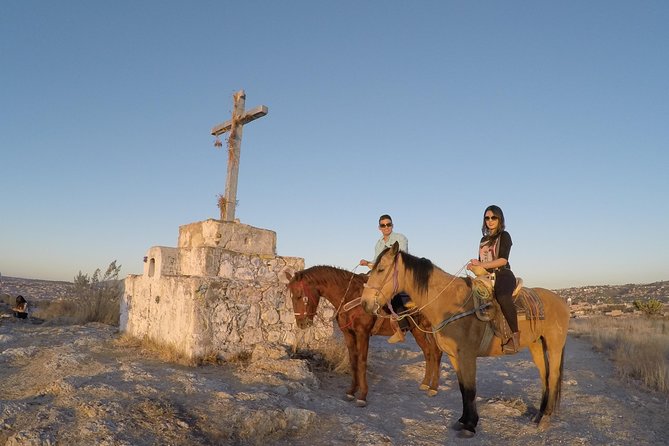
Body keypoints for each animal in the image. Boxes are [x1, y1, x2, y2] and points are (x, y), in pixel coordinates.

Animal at [285, 265, 443, 407]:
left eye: (299, 295)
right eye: (291, 296)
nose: (301, 323)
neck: (351, 296)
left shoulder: (363, 334)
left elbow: (361, 362)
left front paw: (362, 396)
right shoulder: (348, 334)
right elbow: (353, 361)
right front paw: (351, 391)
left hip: (429, 329)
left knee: (436, 352)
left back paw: (433, 388)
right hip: (418, 330)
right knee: (429, 352)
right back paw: (425, 384)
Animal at [360, 242, 570, 437]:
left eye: (381, 269)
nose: (365, 303)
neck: (450, 303)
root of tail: (561, 301)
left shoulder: (467, 356)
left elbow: (470, 389)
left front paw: (470, 426)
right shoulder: (455, 356)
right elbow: (462, 389)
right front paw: (463, 421)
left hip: (554, 345)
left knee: (553, 376)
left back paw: (546, 418)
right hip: (536, 345)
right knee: (544, 376)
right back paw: (539, 414)